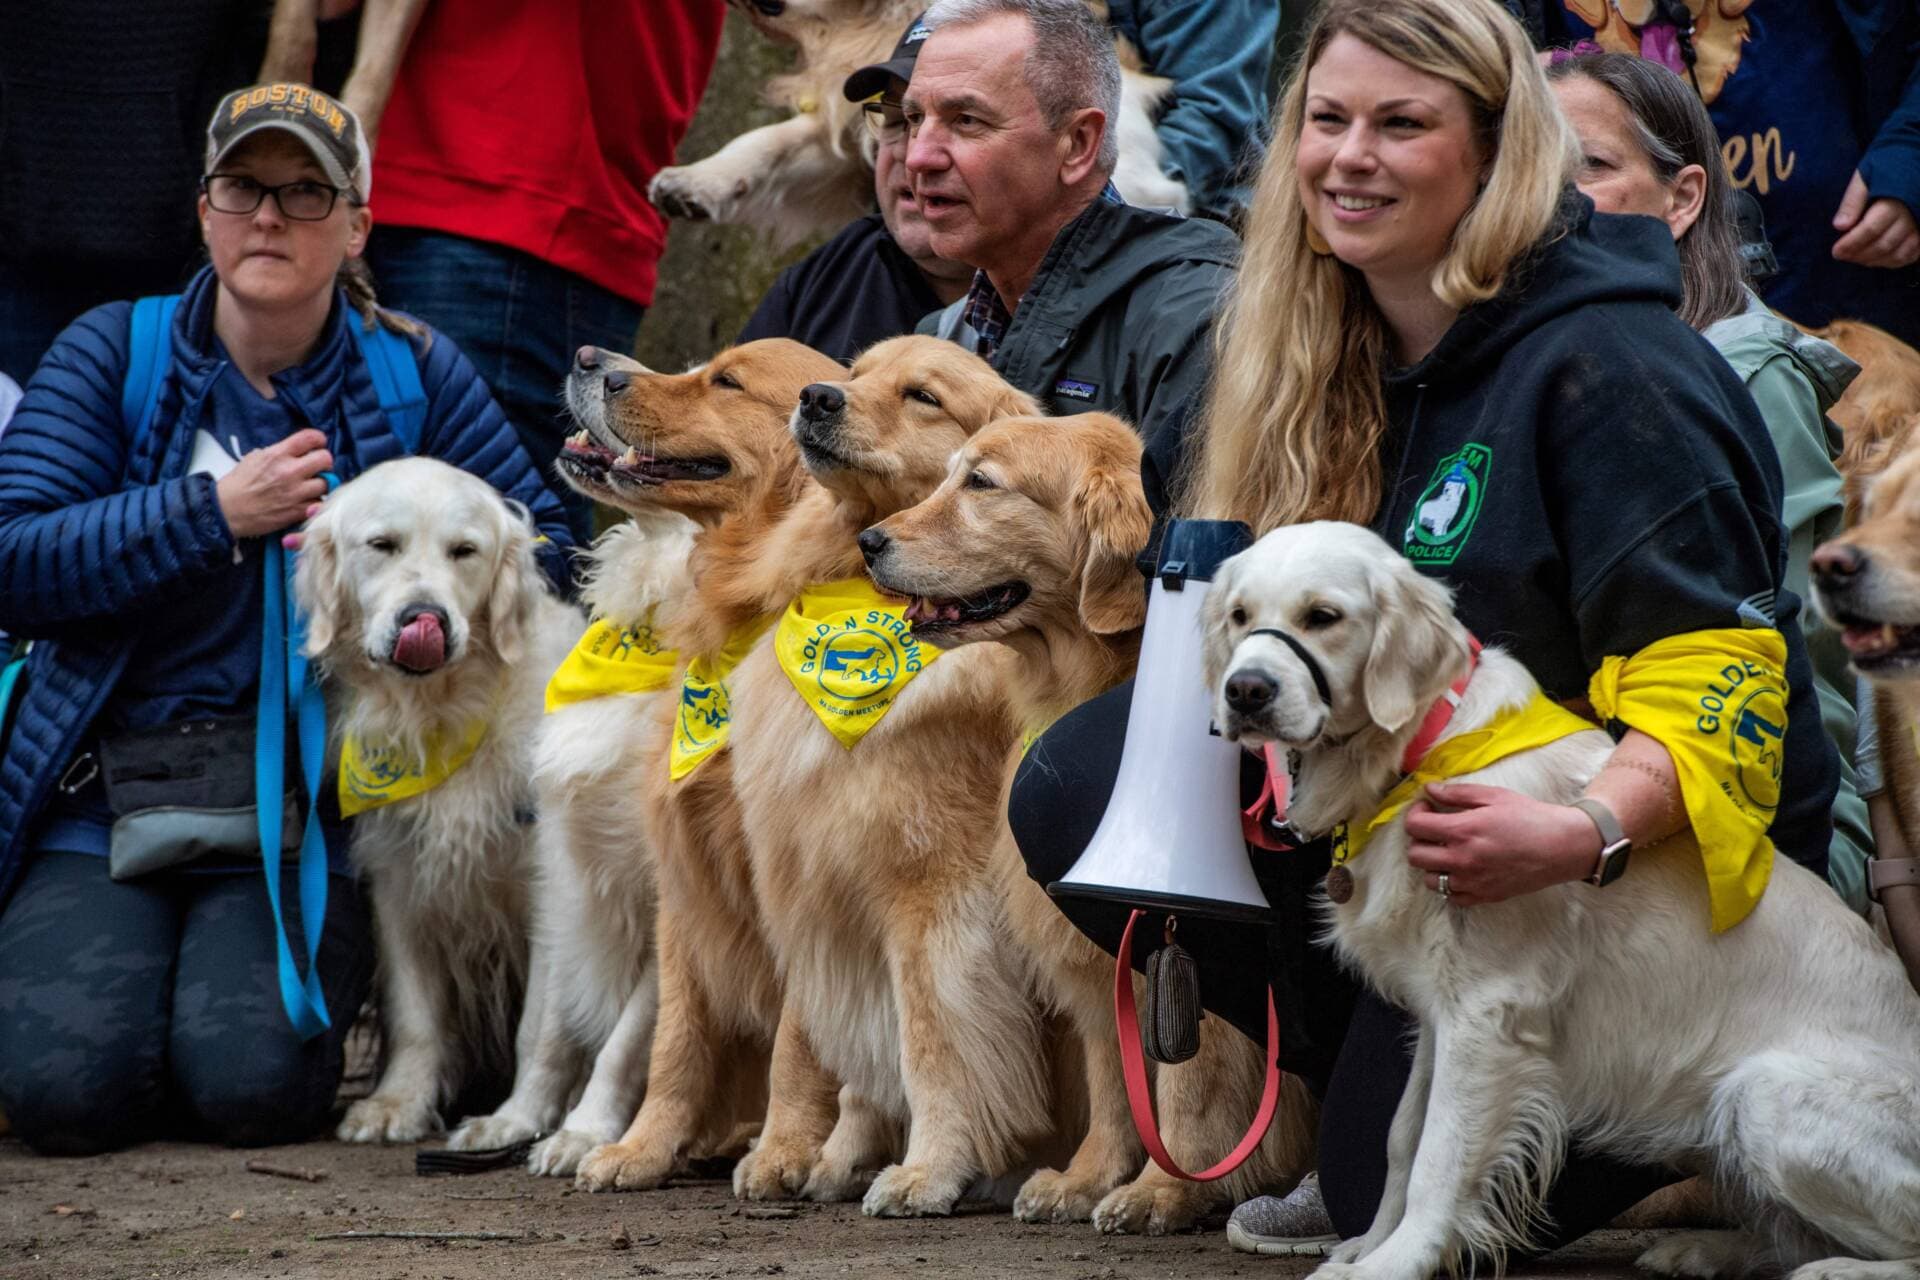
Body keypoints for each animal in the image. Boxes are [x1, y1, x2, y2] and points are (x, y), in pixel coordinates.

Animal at [293, 458, 583, 1143]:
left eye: (464, 551)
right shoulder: (398, 876)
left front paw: (515, 1119)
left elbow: (541, 1023)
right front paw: (397, 1103)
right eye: (382, 545)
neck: (443, 716)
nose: (423, 618)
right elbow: (415, 1013)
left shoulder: (550, 885)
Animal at [867, 412, 1320, 1228]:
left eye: (981, 483)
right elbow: (1113, 1073)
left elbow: (1188, 1083)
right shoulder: (1089, 949)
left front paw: (1167, 1187)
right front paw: (1088, 1178)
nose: (867, 541)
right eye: (950, 474)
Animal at [1205, 521, 1920, 1280]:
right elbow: (1402, 1137)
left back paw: (1833, 1268)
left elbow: (1440, 1155)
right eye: (1240, 616)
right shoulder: (1438, 1010)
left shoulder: (1487, 1010)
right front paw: (1372, 1244)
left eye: (1323, 616)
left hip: (1764, 1094)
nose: (1245, 691)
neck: (1418, 755)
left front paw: (1397, 1261)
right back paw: (1707, 1249)